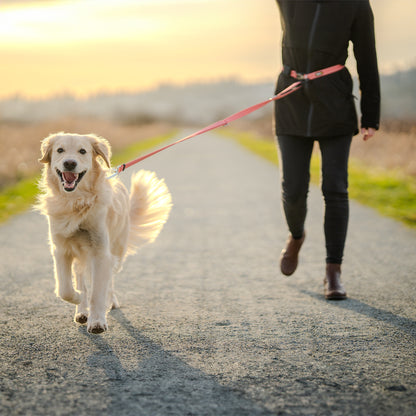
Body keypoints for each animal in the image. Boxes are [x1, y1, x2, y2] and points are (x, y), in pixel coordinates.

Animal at [36, 132, 171, 334]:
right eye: (60, 150)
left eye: (82, 151)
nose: (69, 163)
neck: (76, 202)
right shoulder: (61, 250)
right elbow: (65, 289)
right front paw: (78, 299)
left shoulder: (100, 252)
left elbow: (98, 291)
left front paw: (97, 321)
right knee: (81, 278)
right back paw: (82, 310)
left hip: (116, 252)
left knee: (109, 281)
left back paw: (110, 302)